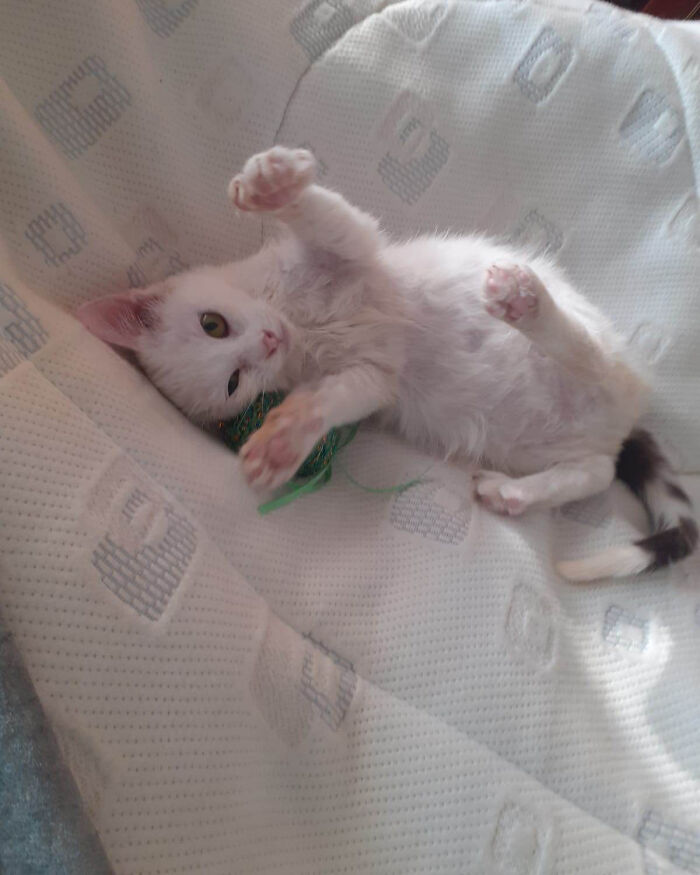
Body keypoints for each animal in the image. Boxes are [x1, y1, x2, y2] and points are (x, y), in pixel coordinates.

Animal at [79, 147, 696, 580]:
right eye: (235, 383)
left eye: (213, 324)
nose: (269, 343)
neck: (299, 324)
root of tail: (622, 416)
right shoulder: (374, 379)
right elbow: (334, 397)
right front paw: (285, 441)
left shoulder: (354, 249)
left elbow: (326, 217)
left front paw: (270, 183)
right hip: (541, 445)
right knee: (596, 470)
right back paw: (515, 492)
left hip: (597, 349)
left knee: (584, 353)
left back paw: (528, 303)